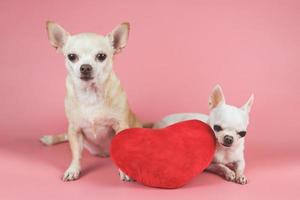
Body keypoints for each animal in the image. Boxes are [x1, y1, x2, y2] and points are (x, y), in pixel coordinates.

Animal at [40, 21, 143, 181]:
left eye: (101, 56)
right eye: (72, 56)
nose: (85, 67)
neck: (91, 94)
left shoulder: (120, 125)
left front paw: (125, 170)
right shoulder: (74, 129)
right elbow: (76, 154)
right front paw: (73, 169)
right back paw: (50, 139)